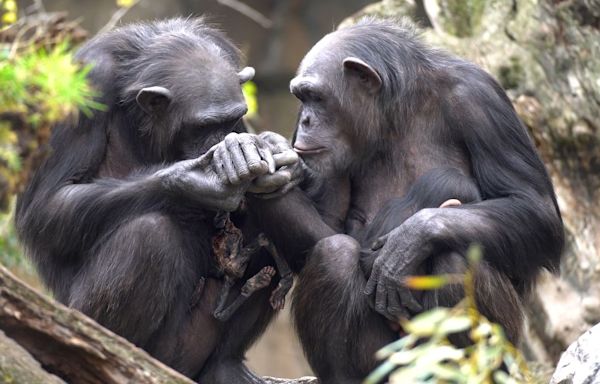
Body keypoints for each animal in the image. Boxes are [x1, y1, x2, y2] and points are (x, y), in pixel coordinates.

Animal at [16, 18, 300, 384]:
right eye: (205, 126)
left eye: (231, 119)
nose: (224, 138)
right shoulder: (86, 85)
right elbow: (48, 205)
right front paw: (193, 181)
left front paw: (277, 152)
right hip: (92, 318)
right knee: (149, 236)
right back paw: (116, 356)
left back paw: (226, 365)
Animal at [247, 18, 564, 384]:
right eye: (303, 98)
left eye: (318, 97)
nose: (305, 120)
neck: (394, 111)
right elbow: (328, 228)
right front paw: (262, 160)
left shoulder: (481, 101)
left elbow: (533, 206)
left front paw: (410, 240)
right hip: (390, 362)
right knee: (334, 255)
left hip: (499, 349)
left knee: (456, 258)